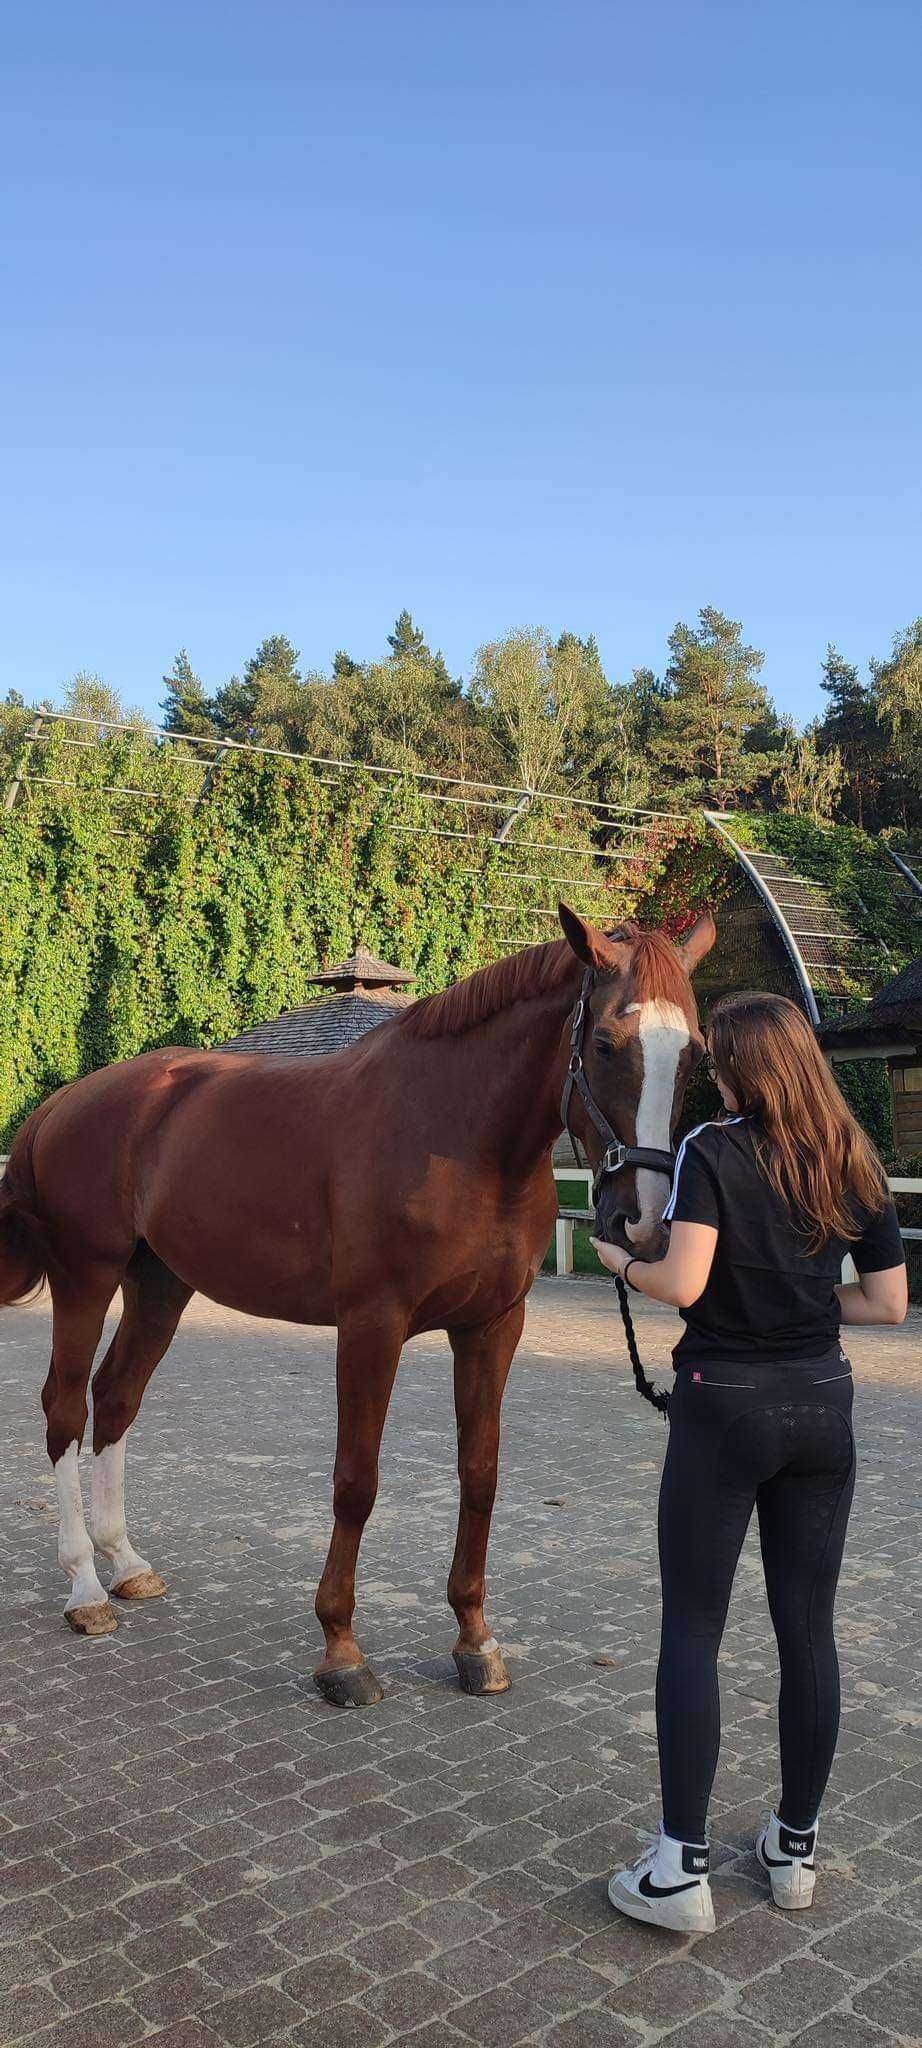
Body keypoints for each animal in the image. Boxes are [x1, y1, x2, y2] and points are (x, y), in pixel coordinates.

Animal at [0, 905, 713, 1703]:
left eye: (695, 1054)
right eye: (606, 1043)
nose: (642, 1221)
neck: (457, 1133)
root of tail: (66, 1102)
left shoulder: (492, 1326)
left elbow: (480, 1474)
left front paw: (474, 1640)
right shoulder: (373, 1324)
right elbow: (356, 1480)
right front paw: (341, 1651)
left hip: (160, 1285)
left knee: (116, 1398)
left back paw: (125, 1563)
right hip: (86, 1278)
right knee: (66, 1408)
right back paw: (85, 1588)